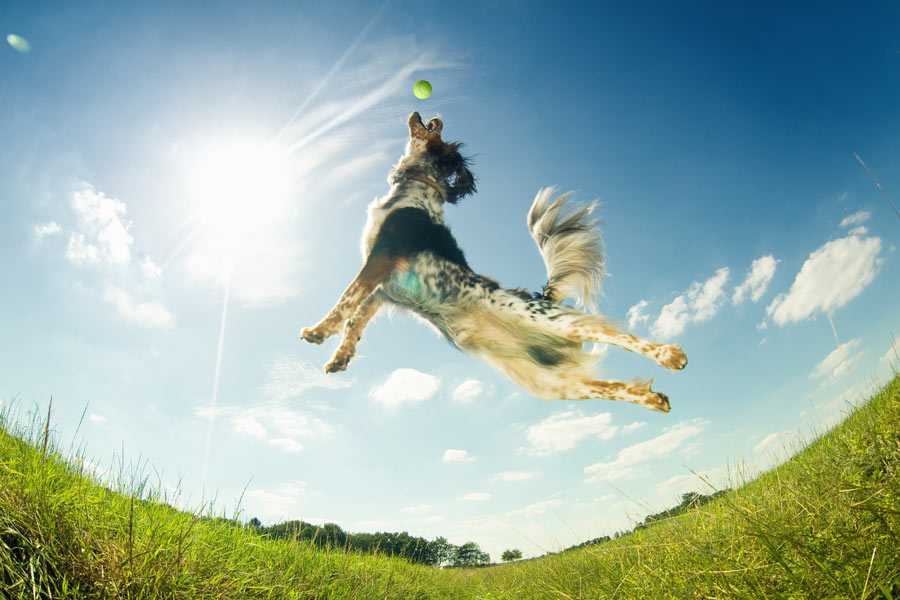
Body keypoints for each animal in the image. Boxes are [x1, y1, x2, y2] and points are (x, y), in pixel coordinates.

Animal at [298, 111, 684, 412]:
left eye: (438, 132)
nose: (430, 113)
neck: (415, 191)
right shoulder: (385, 288)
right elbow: (355, 319)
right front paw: (340, 356)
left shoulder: (383, 256)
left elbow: (346, 298)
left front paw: (318, 331)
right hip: (547, 383)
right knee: (606, 387)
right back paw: (653, 399)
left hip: (550, 320)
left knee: (613, 333)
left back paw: (669, 354)